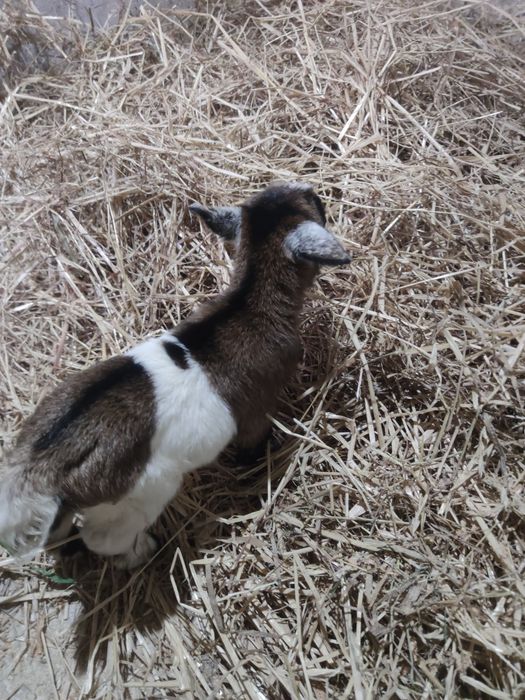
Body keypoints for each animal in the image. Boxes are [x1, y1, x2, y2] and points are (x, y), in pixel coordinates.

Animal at [0, 182, 350, 569]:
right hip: (139, 494)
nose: (314, 190)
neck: (249, 304)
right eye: (314, 205)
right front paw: (254, 469)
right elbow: (253, 441)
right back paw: (142, 551)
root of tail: (44, 463)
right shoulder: (258, 409)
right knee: (105, 536)